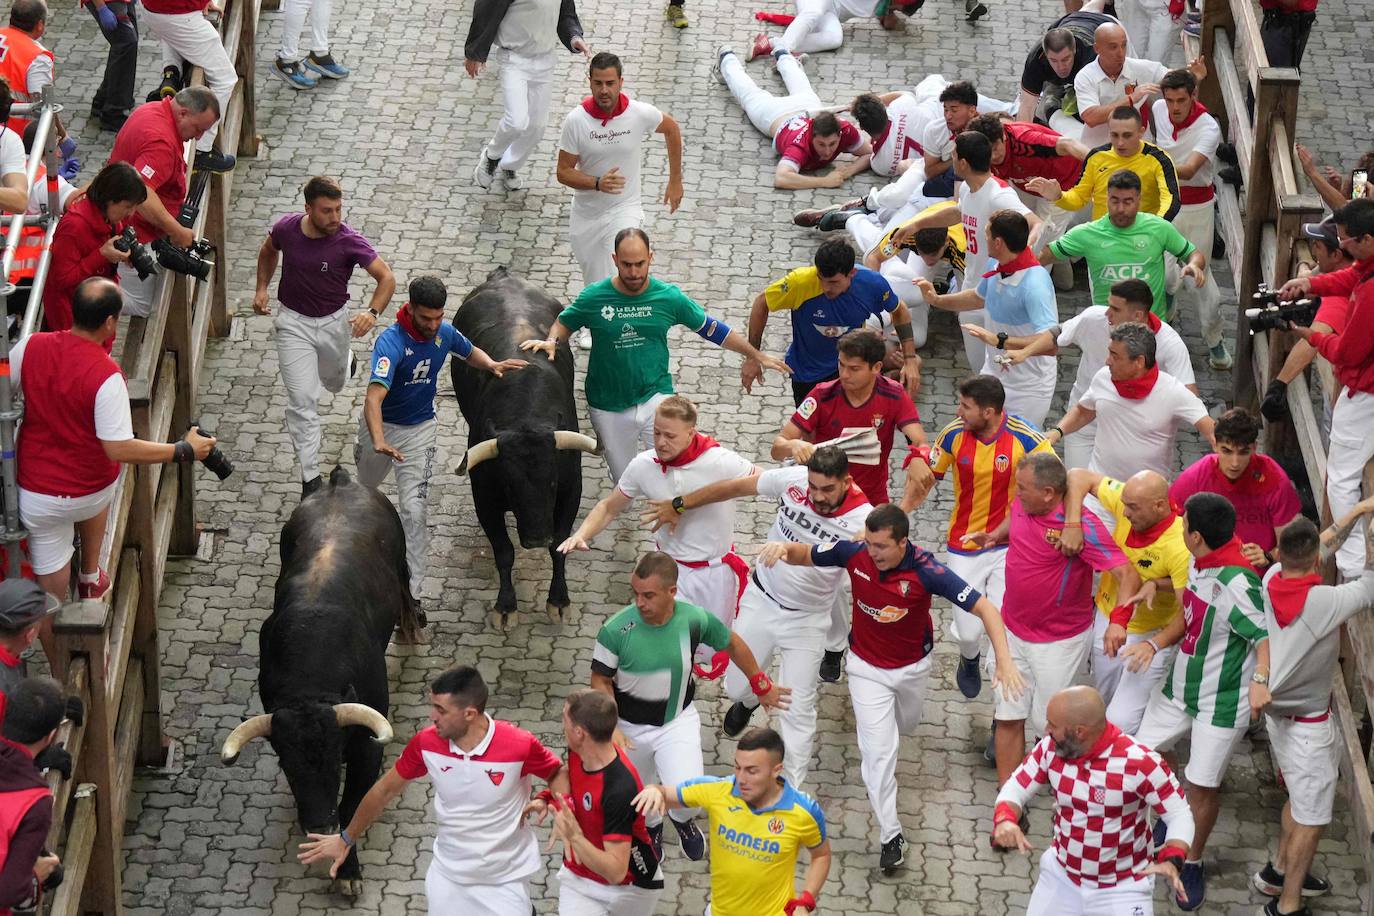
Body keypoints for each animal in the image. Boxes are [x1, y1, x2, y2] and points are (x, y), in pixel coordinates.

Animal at [219, 469, 417, 900]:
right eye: (286, 764)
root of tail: (339, 482)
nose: (319, 824)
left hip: (401, 560)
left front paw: (347, 871)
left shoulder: (366, 750)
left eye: (334, 755)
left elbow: (352, 807)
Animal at [453, 269, 599, 620]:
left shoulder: (571, 491)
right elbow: (504, 551)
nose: (535, 539)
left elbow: (560, 545)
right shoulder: (485, 499)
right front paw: (506, 606)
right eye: (510, 485)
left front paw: (558, 600)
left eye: (552, 482)